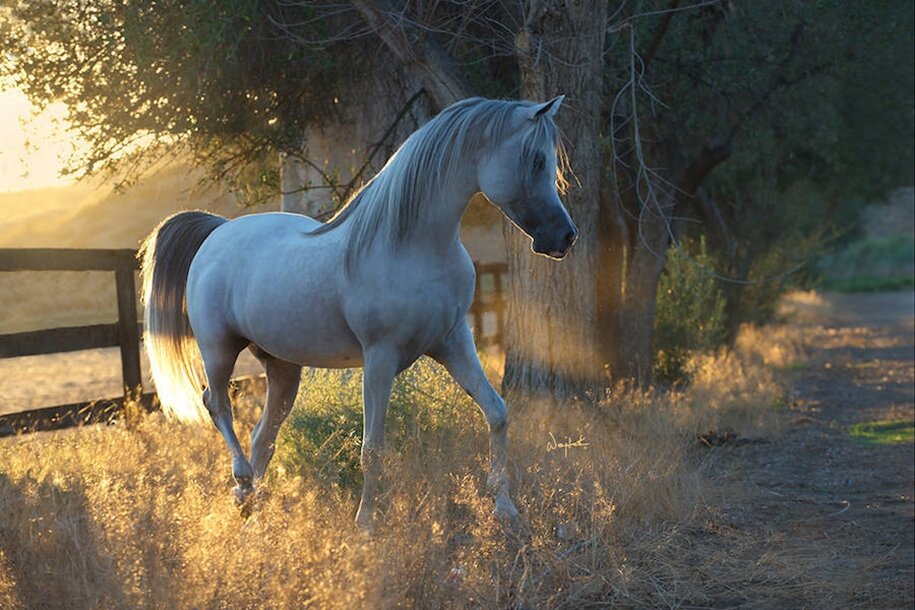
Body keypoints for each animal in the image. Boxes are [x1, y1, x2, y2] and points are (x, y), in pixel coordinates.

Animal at [140, 96, 576, 528]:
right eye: (537, 160)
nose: (565, 236)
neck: (408, 246)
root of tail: (217, 230)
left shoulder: (453, 342)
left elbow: (497, 411)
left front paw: (505, 508)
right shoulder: (380, 357)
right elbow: (373, 446)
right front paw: (366, 522)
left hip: (283, 368)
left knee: (263, 436)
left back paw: (253, 511)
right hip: (219, 349)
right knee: (216, 404)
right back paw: (242, 483)